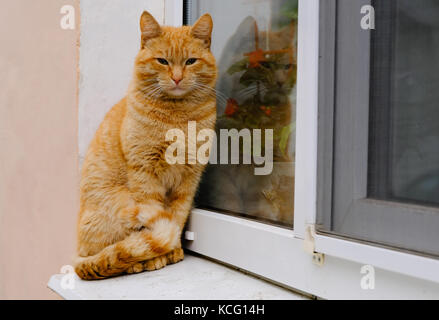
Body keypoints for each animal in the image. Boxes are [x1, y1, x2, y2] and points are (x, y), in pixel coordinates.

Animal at [76, 11, 220, 278]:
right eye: (162, 61)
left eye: (191, 61)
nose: (177, 77)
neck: (177, 118)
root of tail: (76, 251)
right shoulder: (145, 174)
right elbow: (156, 223)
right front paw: (160, 254)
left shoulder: (189, 180)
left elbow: (177, 216)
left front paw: (173, 249)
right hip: (123, 202)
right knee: (110, 253)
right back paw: (140, 261)